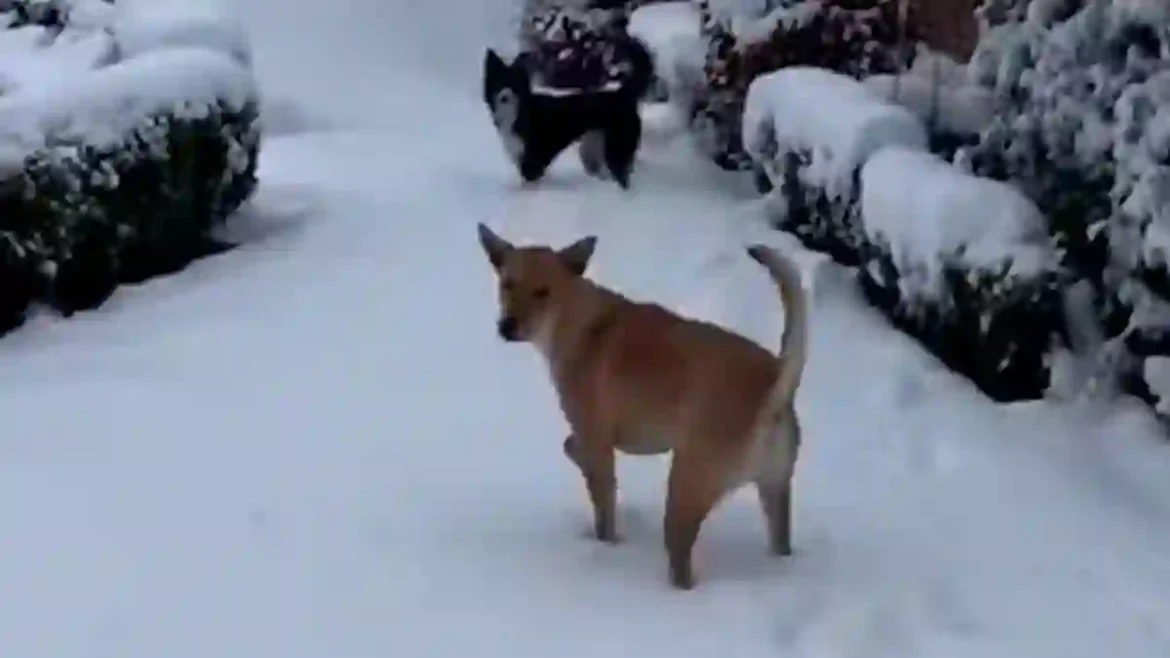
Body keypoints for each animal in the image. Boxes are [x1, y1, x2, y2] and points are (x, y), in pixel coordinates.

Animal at [475, 222, 804, 585]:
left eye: (543, 292)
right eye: (507, 284)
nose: (507, 326)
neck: (579, 319)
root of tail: (774, 384)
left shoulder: (597, 440)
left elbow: (603, 505)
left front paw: (605, 543)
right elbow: (572, 448)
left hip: (686, 488)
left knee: (680, 558)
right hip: (775, 489)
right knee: (780, 542)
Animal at [479, 40, 655, 189]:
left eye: (514, 85)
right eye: (498, 83)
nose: (505, 96)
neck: (519, 113)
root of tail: (623, 93)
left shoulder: (533, 160)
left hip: (616, 147)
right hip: (592, 150)